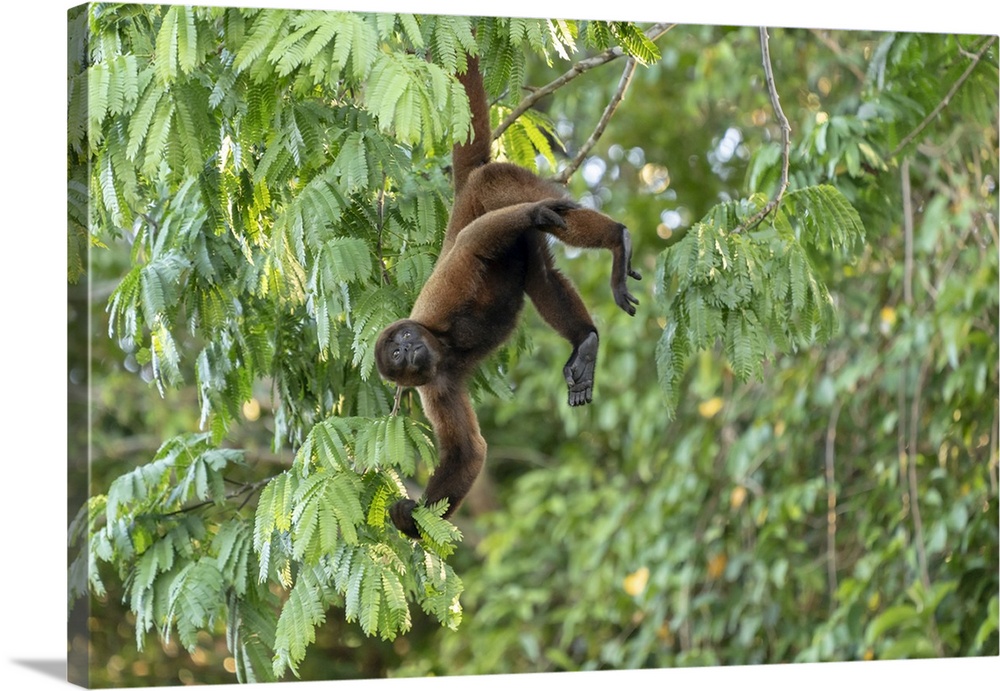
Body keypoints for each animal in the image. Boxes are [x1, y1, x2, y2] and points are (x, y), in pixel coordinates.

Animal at [376, 55, 640, 540]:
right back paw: (585, 343)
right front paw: (413, 518)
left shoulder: (440, 299)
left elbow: (472, 246)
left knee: (509, 205)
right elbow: (469, 451)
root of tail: (461, 191)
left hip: (495, 186)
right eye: (398, 358)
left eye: (403, 341)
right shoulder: (435, 386)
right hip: (525, 250)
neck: (440, 346)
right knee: (543, 278)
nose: (407, 349)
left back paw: (613, 237)